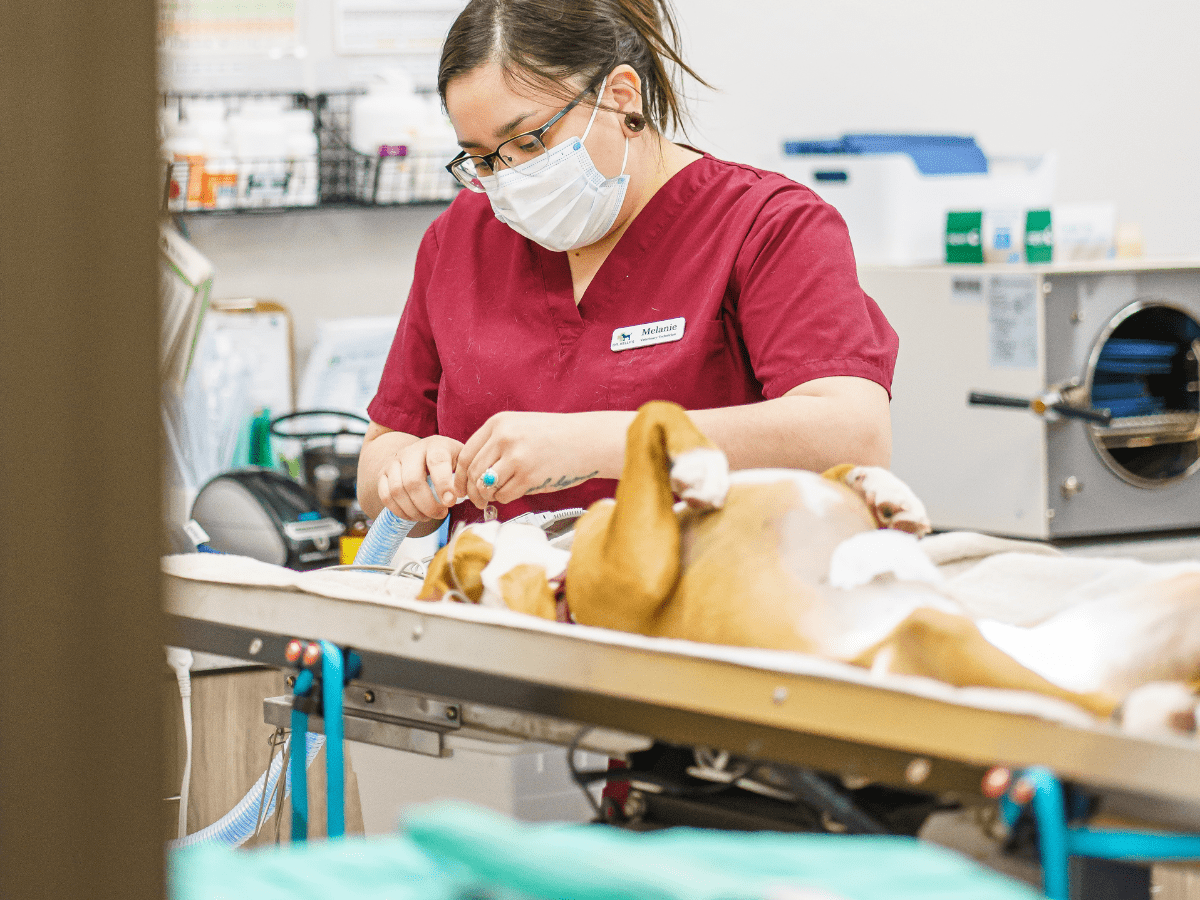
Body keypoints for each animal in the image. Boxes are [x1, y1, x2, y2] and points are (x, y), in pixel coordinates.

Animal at [417, 405, 1200, 734]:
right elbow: (648, 415)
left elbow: (840, 464)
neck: (557, 590)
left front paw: (894, 498)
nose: (477, 507)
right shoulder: (637, 572)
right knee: (1093, 706)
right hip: (934, 639)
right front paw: (699, 466)